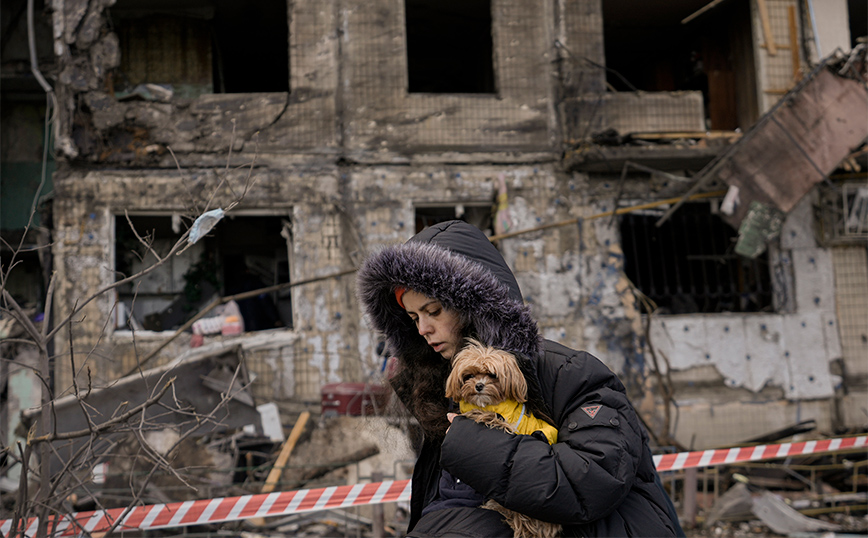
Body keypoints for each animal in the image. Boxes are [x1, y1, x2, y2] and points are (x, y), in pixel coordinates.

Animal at [448, 340, 564, 536]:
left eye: (492, 375)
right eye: (469, 375)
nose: (479, 386)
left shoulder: (507, 424)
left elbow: (493, 419)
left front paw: (477, 414)